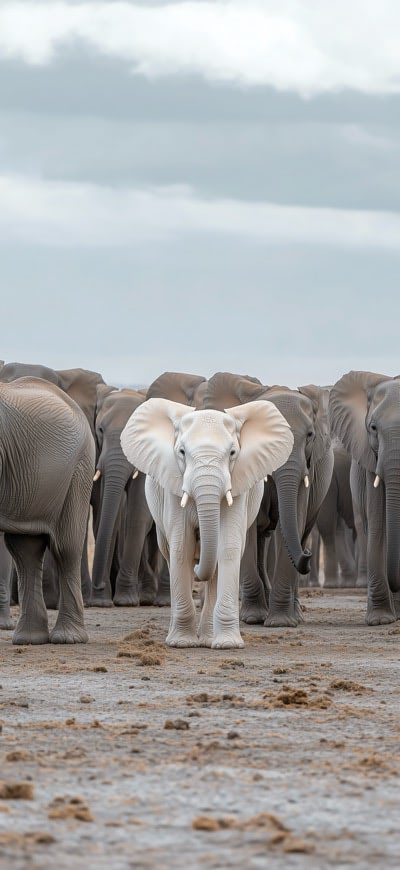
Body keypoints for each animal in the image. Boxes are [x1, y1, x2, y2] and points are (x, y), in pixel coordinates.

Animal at [120, 397, 294, 648]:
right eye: (182, 452)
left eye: (232, 452)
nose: (197, 567)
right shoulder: (173, 485)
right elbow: (182, 547)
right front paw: (181, 643)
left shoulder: (238, 484)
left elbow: (227, 547)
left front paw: (229, 645)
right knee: (170, 552)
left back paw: (209, 639)